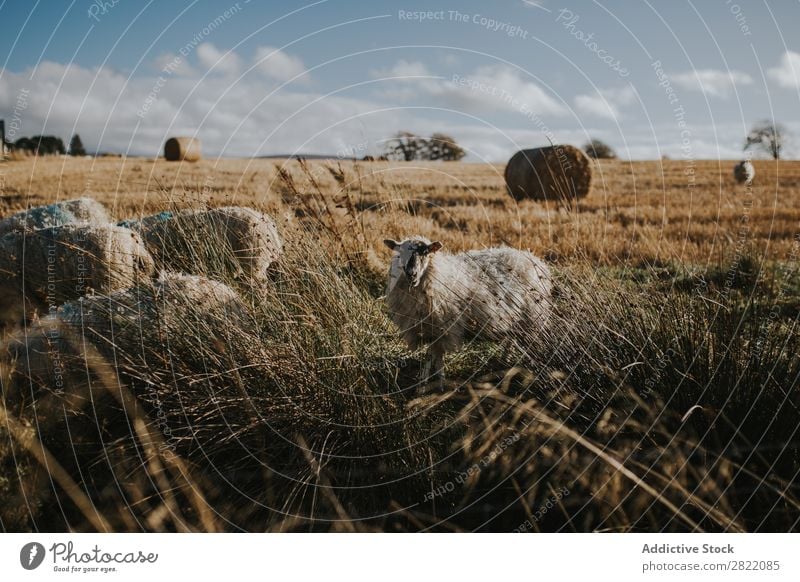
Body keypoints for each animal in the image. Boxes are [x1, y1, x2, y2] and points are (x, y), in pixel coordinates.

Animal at [382, 235, 552, 380]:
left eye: (425, 252)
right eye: (399, 252)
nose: (411, 273)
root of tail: (532, 258)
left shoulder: (443, 328)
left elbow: (436, 357)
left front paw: (439, 383)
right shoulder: (428, 327)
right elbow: (431, 358)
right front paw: (423, 383)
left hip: (532, 317)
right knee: (511, 340)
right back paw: (504, 361)